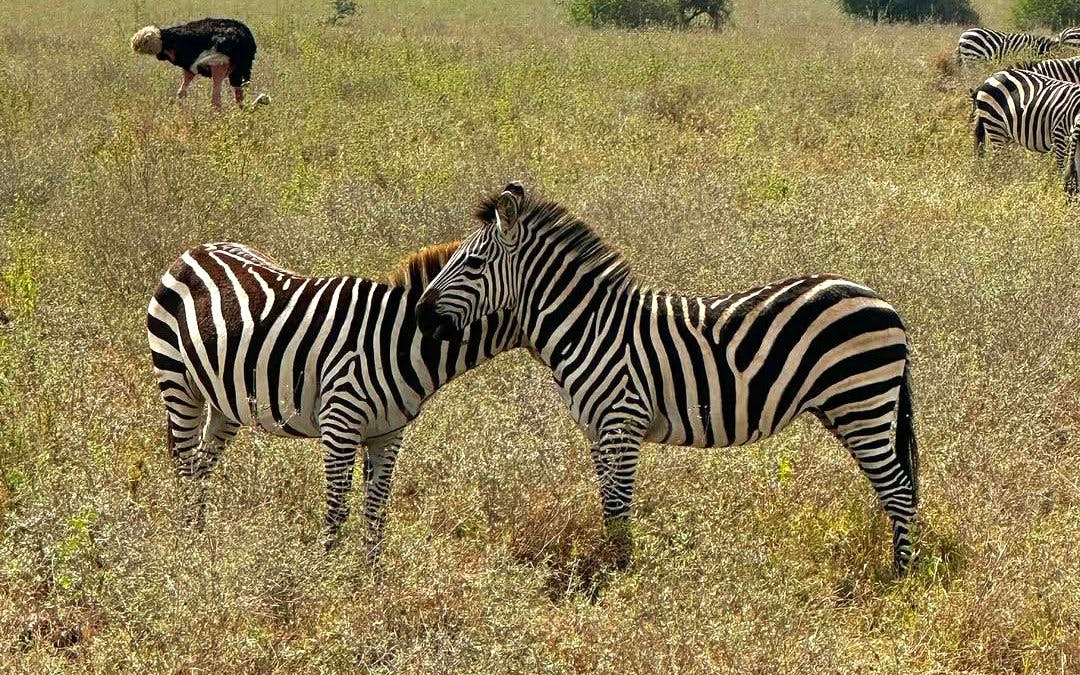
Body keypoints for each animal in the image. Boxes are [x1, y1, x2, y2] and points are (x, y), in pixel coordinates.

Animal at [147, 241, 521, 558]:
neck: (400, 341)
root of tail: (194, 250)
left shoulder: (389, 433)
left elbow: (376, 509)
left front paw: (372, 581)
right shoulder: (339, 422)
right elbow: (338, 508)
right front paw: (325, 576)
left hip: (224, 401)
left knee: (200, 465)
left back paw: (199, 536)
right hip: (177, 381)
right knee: (185, 463)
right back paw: (187, 544)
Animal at [416, 183, 920, 577]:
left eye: (473, 264)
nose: (420, 313)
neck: (588, 326)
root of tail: (883, 302)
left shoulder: (622, 421)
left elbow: (618, 506)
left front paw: (621, 574)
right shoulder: (598, 431)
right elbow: (608, 506)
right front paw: (615, 564)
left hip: (862, 402)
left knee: (898, 488)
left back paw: (902, 576)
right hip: (845, 409)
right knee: (896, 486)